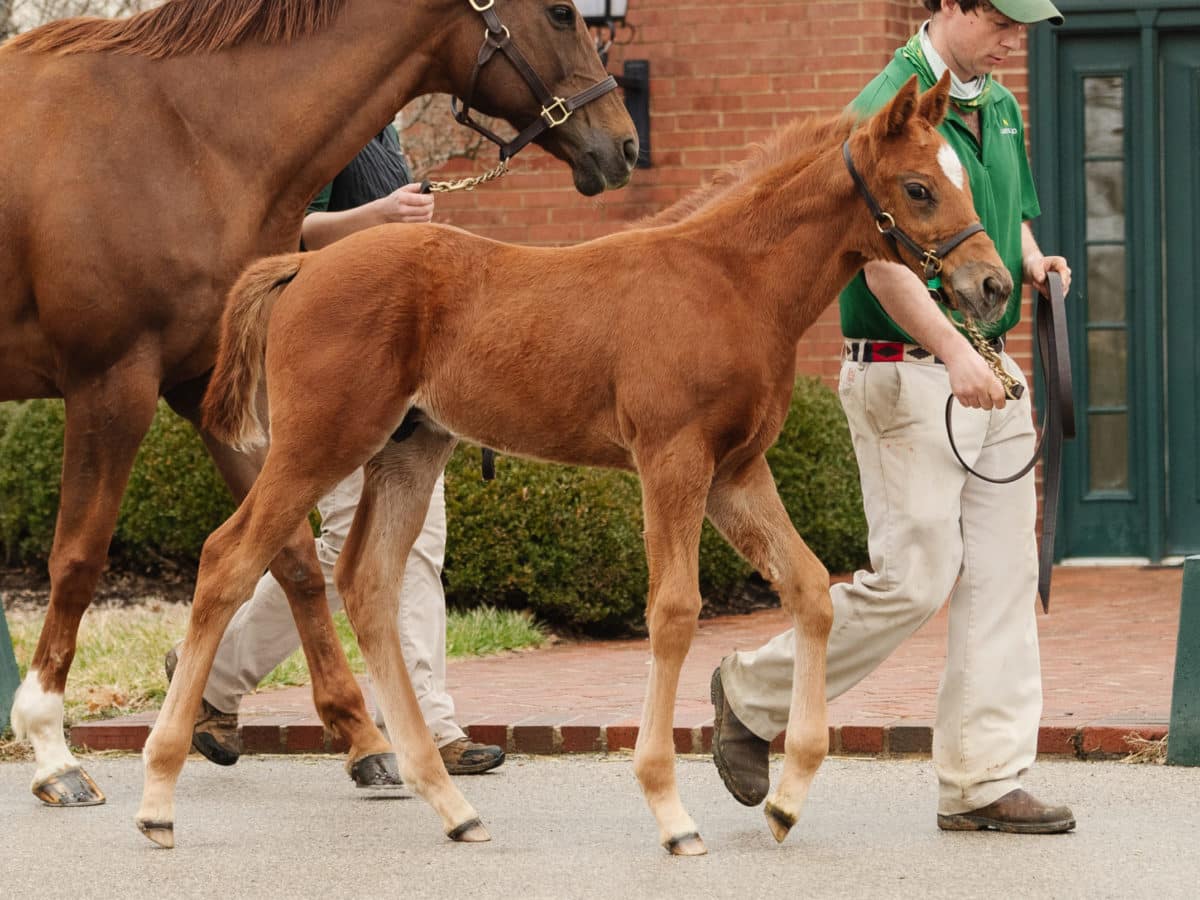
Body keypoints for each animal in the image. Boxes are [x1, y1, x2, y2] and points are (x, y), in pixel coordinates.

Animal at [140, 75, 1012, 854]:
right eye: (919, 187)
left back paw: (452, 805)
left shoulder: (736, 471)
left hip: (408, 451)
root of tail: (303, 266)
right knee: (228, 559)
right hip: (319, 442)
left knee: (368, 585)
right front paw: (670, 811)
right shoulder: (672, 459)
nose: (994, 285)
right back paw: (157, 797)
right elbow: (674, 611)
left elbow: (809, 590)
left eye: (960, 179)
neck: (730, 280)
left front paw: (786, 797)